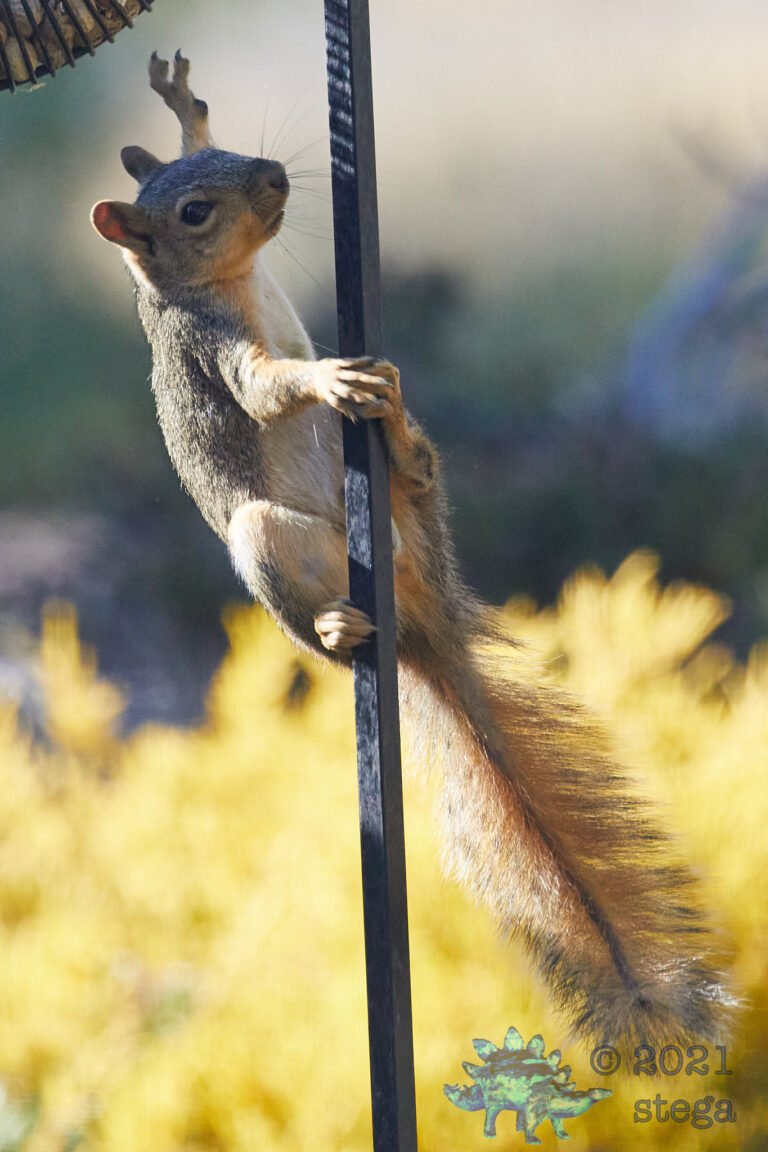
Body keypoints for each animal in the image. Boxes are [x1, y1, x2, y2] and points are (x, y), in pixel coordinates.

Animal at [91, 52, 731, 1048]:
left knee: (420, 482)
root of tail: (418, 611)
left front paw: (183, 104)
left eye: (228, 157)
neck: (218, 284)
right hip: (267, 543)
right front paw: (325, 376)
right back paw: (334, 623)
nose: (274, 178)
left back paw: (400, 437)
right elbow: (267, 388)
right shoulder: (211, 351)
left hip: (412, 515)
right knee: (308, 618)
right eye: (193, 211)